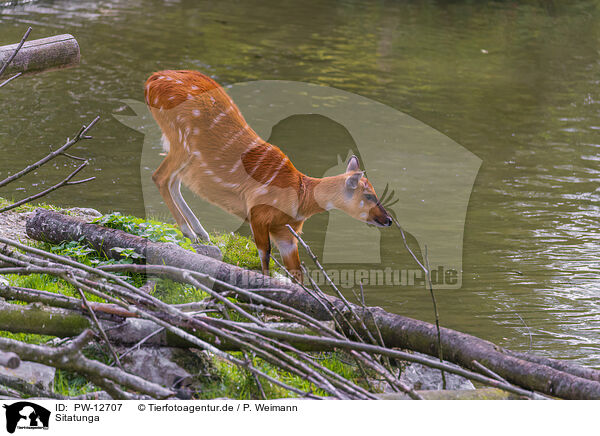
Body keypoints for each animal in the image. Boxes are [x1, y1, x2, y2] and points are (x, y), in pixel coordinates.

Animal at [145, 70, 394, 282]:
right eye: (369, 195)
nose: (389, 219)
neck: (300, 198)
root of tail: (152, 81)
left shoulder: (285, 232)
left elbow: (297, 272)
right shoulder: (258, 213)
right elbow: (265, 258)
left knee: (174, 181)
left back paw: (201, 233)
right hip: (181, 140)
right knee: (160, 176)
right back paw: (190, 231)